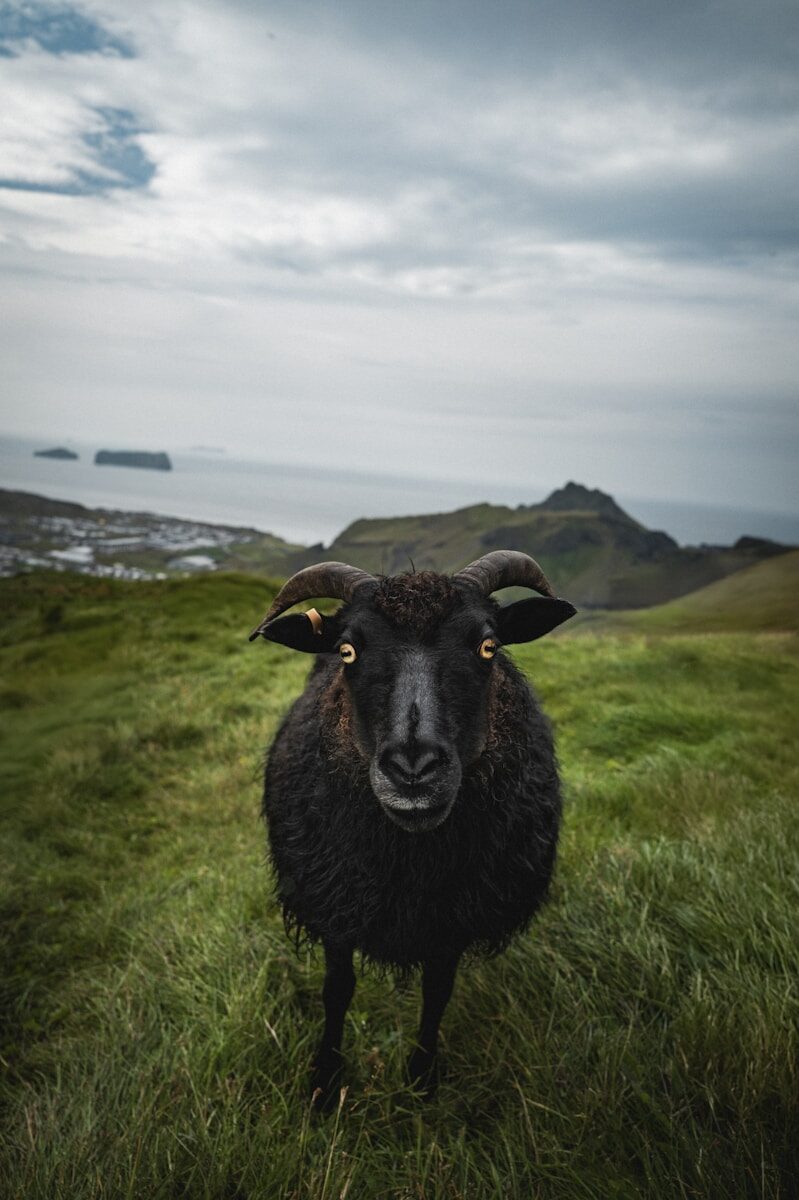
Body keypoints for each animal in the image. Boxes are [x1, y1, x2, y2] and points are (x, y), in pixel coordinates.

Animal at [249, 551, 576, 1106]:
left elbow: (436, 993)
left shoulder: (452, 921)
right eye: (348, 650)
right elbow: (337, 990)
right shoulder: (336, 907)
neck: (412, 862)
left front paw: (422, 1077)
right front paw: (325, 1081)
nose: (413, 769)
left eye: (488, 646)